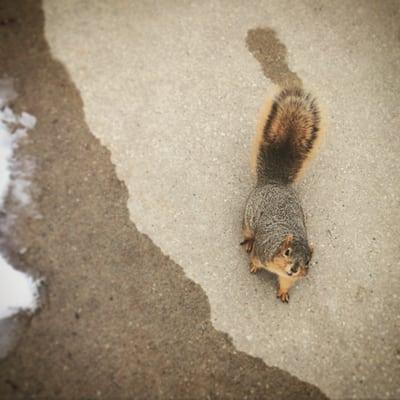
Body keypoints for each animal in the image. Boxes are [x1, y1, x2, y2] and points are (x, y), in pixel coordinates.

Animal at [241, 86, 324, 302]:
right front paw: (253, 266)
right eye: (287, 252)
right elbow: (256, 259)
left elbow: (286, 283)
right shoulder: (263, 251)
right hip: (249, 218)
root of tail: (274, 182)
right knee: (248, 232)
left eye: (308, 261)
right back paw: (249, 241)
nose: (294, 269)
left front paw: (284, 293)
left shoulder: (289, 278)